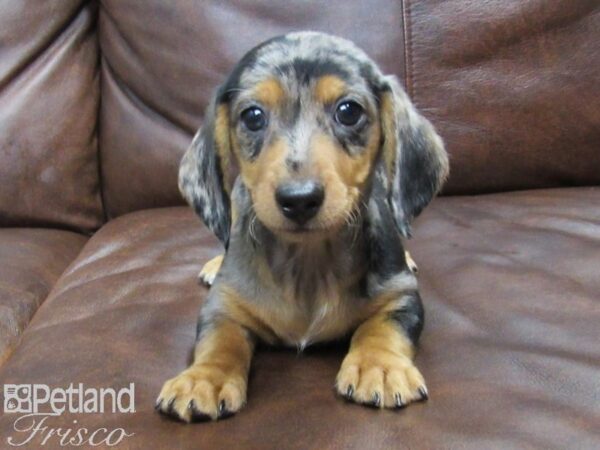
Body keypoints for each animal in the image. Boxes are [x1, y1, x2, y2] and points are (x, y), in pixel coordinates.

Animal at [157, 31, 448, 422]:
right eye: (252, 116)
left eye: (349, 111)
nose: (299, 199)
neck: (309, 263)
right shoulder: (222, 305)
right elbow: (220, 340)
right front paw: (203, 378)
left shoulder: (401, 294)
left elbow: (383, 327)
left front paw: (380, 367)